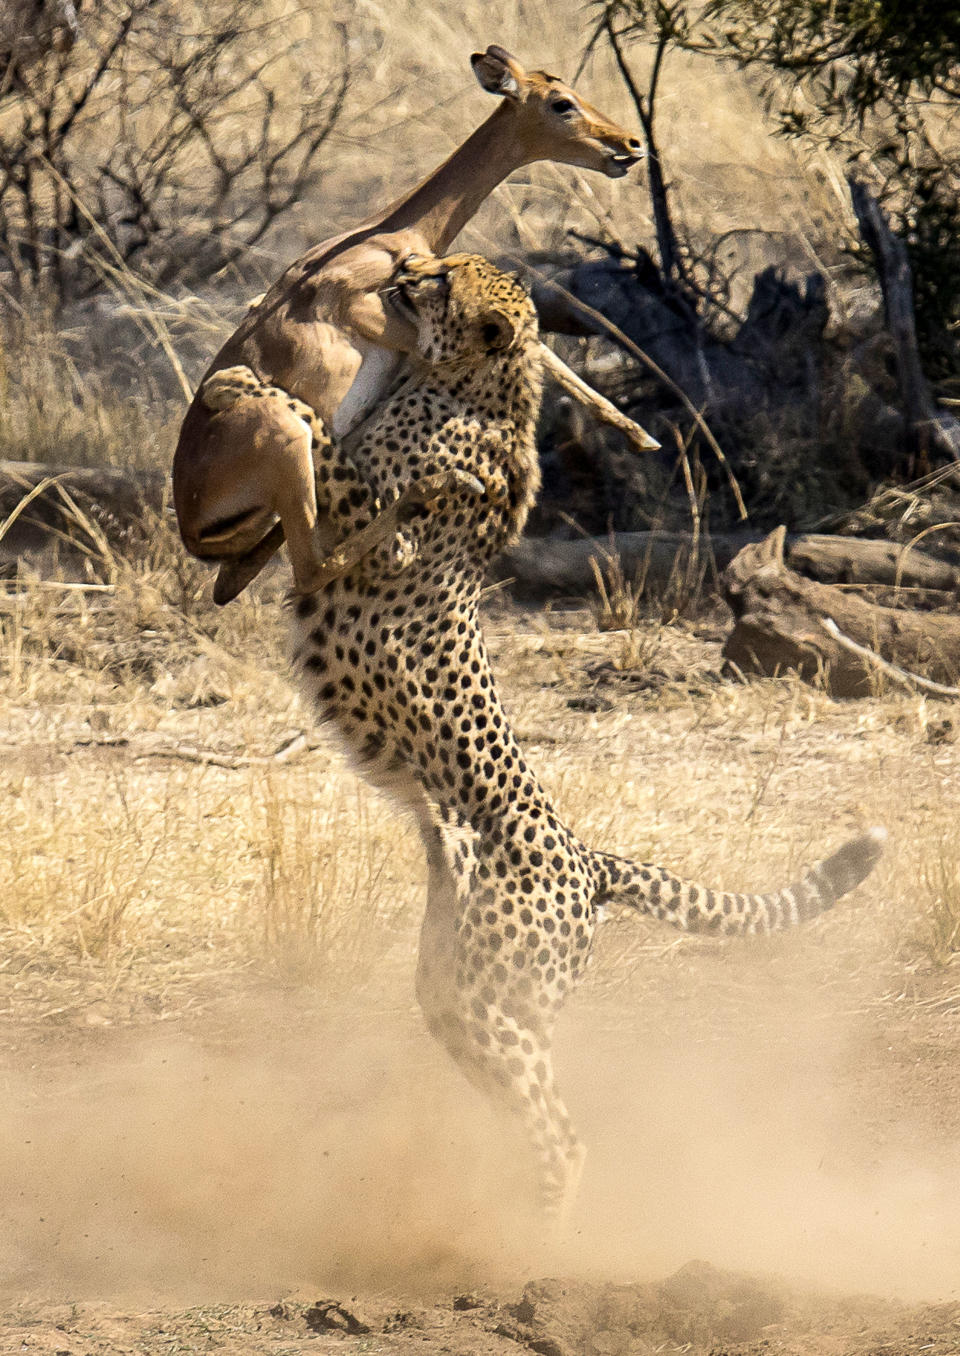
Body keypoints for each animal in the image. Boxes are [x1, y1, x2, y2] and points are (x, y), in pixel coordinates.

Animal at [202, 252, 884, 1220]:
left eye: (440, 283)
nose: (404, 272)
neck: (466, 382)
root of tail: (587, 858)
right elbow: (329, 430)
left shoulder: (374, 525)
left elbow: (323, 441)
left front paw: (251, 386)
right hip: (459, 987)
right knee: (518, 1095)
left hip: (491, 995)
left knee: (564, 1133)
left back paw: (531, 1231)